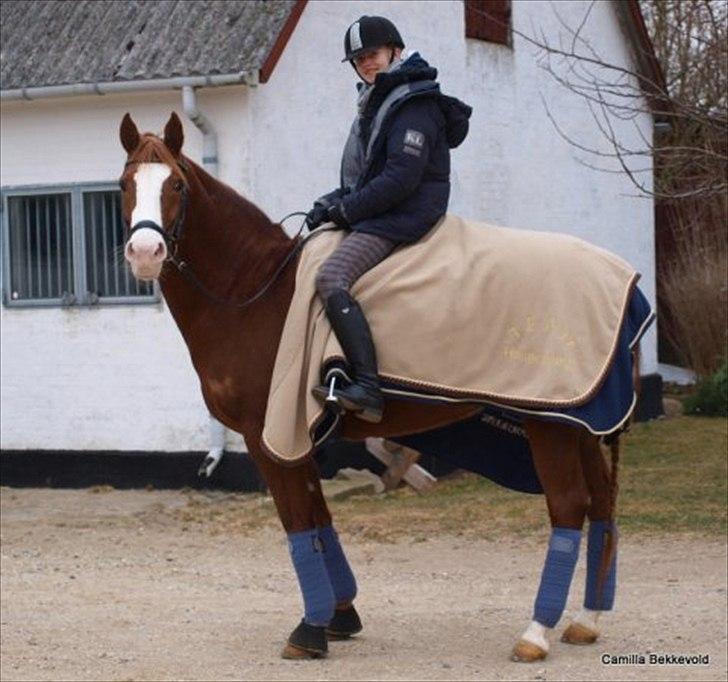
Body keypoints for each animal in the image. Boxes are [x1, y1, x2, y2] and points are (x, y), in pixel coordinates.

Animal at [118, 111, 636, 660]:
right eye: (125, 185)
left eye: (176, 184)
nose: (146, 251)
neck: (254, 292)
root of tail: (624, 280)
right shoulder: (299, 437)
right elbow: (319, 516)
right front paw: (339, 615)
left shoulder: (269, 436)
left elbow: (298, 521)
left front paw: (310, 628)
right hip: (577, 423)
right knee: (600, 502)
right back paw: (586, 620)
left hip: (549, 425)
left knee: (569, 506)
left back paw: (536, 631)